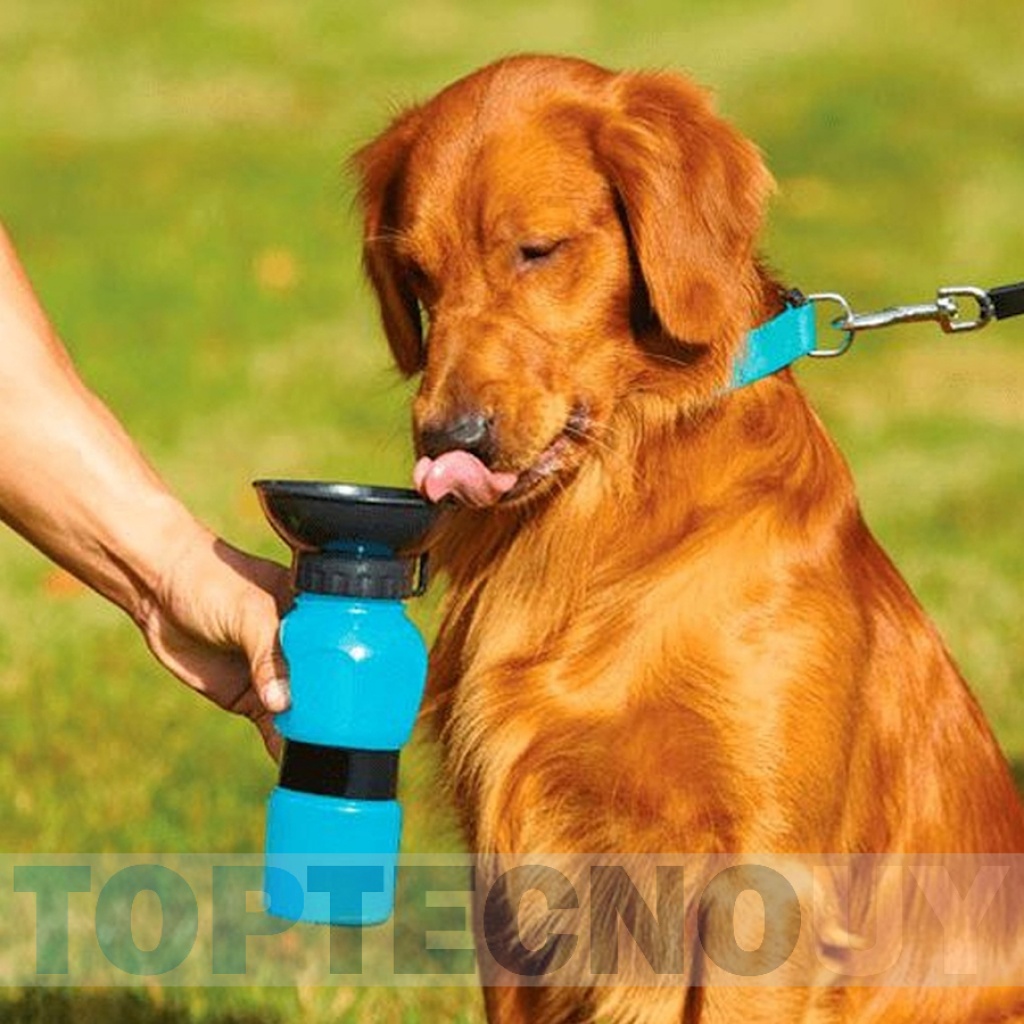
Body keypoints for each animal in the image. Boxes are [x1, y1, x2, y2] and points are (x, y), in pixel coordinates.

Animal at [350, 58, 1015, 1024]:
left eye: (538, 250)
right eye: (416, 272)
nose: (449, 439)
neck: (598, 515)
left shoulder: (762, 875)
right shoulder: (506, 882)